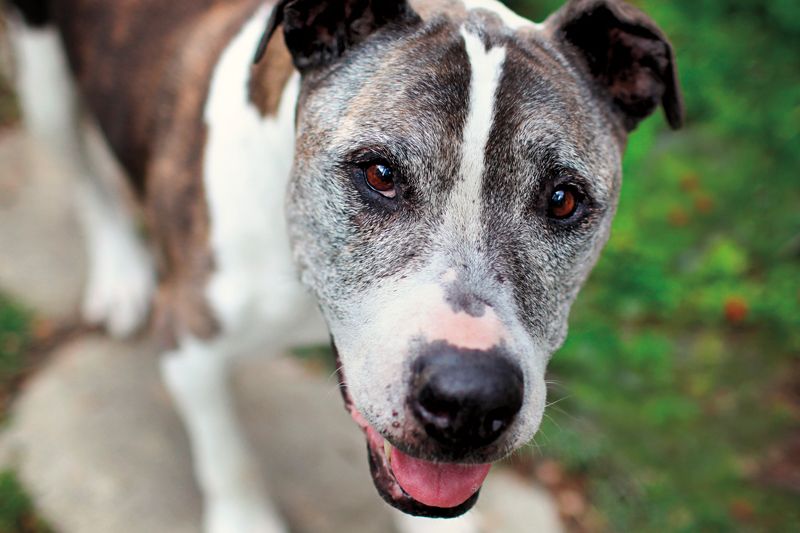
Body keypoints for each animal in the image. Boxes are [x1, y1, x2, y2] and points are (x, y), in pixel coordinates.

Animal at [4, 0, 680, 528]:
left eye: (563, 199)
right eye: (379, 174)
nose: (469, 401)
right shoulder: (187, 337)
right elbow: (228, 457)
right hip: (43, 78)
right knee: (82, 171)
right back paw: (120, 273)